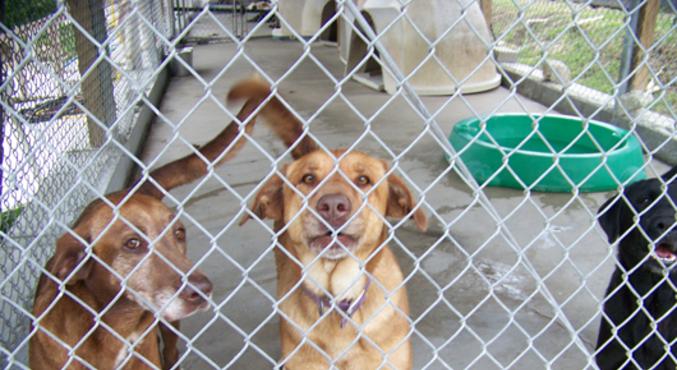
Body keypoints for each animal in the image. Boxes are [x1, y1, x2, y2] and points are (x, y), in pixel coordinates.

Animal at [31, 92, 264, 368]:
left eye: (179, 233)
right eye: (132, 243)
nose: (203, 290)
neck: (118, 330)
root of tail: (132, 188)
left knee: (171, 351)